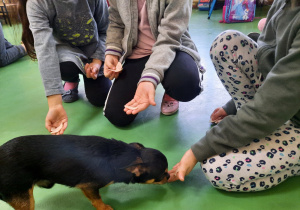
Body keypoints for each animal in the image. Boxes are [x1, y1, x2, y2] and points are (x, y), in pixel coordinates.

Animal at [0, 135, 169, 209]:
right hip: (25, 200)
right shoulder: (88, 186)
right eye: (161, 175)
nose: (168, 176)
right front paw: (105, 208)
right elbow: (97, 200)